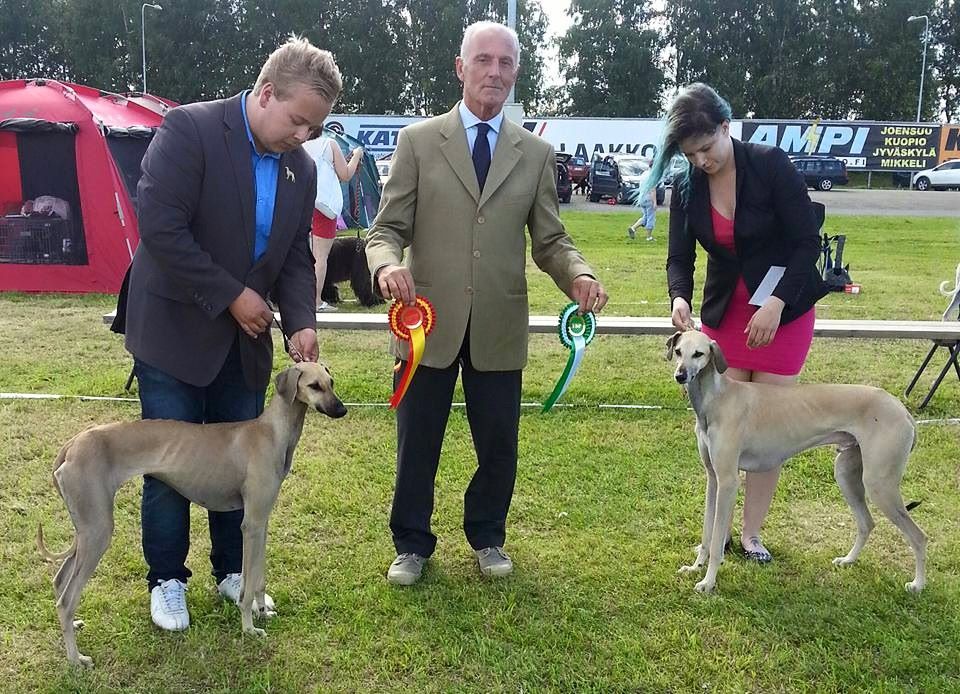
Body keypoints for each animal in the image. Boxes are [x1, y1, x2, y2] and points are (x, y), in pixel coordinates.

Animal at [38, 362, 344, 668]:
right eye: (314, 386)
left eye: (331, 382)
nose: (341, 410)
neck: (271, 432)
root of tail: (72, 445)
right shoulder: (251, 524)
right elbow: (246, 588)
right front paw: (249, 627)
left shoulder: (261, 522)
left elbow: (258, 575)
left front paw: (262, 611)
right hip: (98, 531)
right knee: (66, 599)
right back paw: (76, 659)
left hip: (86, 530)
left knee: (59, 582)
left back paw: (72, 626)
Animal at [664, 332, 928, 600]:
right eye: (679, 351)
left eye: (699, 353)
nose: (680, 375)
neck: (718, 399)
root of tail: (902, 410)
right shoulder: (713, 478)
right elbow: (707, 532)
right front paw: (695, 567)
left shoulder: (728, 481)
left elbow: (717, 540)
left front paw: (708, 582)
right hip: (847, 473)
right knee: (867, 523)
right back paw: (848, 560)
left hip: (879, 484)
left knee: (919, 537)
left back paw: (917, 584)